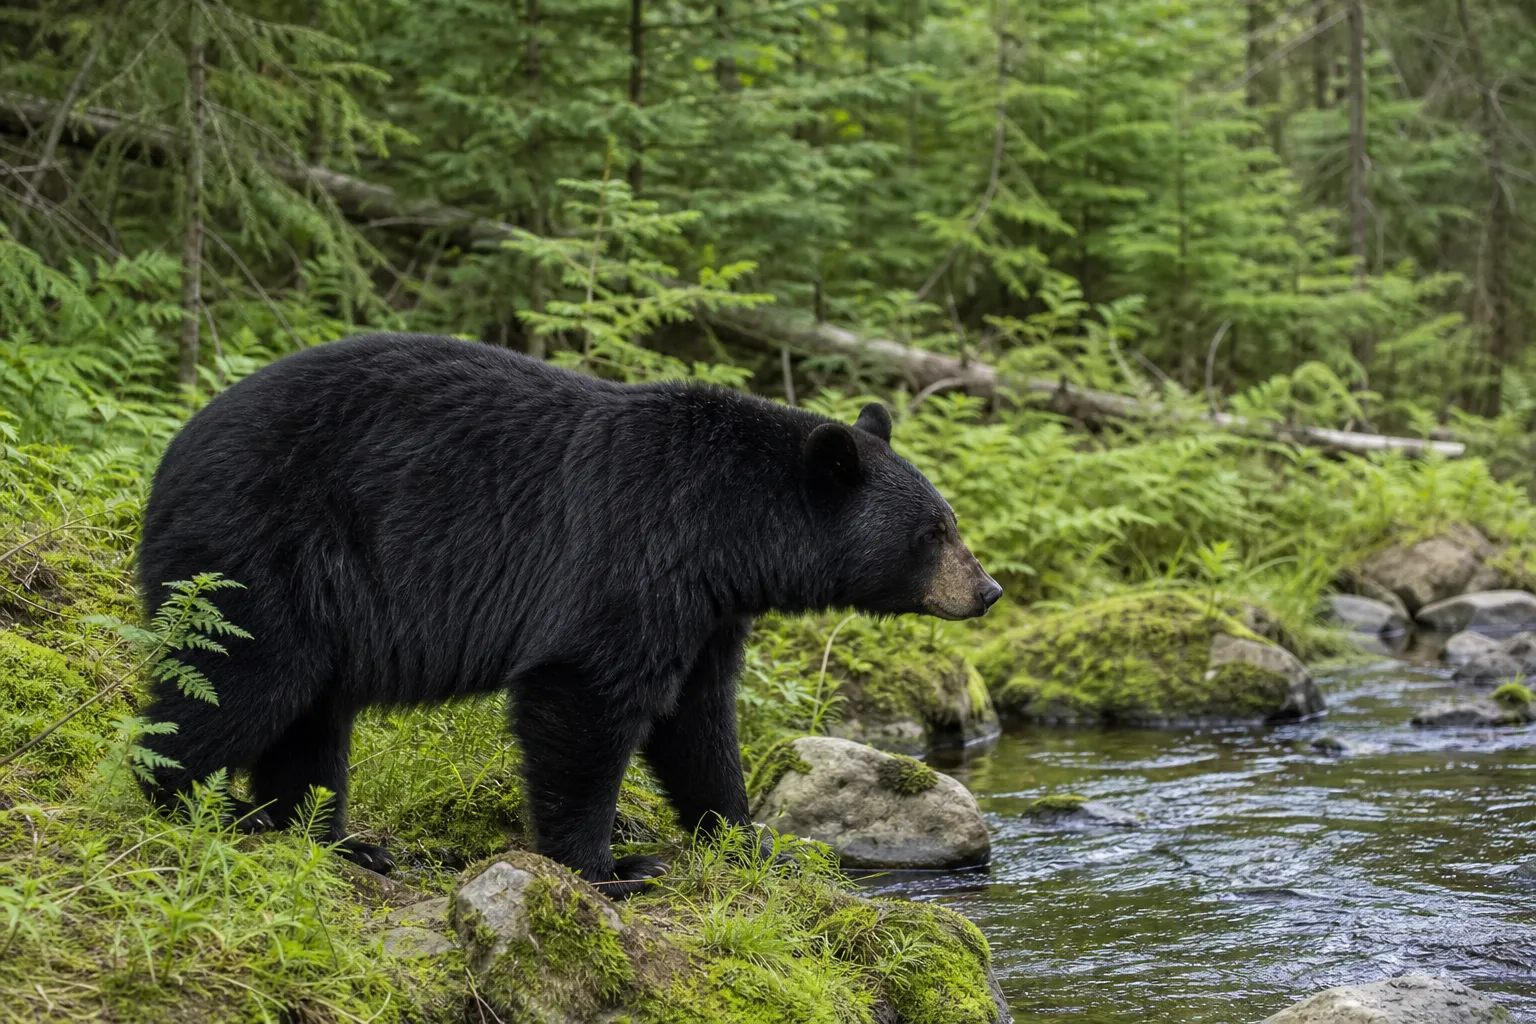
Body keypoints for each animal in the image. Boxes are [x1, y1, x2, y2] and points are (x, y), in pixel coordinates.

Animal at [137, 333, 1002, 895]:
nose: (987, 589)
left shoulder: (706, 608)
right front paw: (611, 867)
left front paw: (752, 841)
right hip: (261, 548)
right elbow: (584, 691)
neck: (726, 530)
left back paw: (339, 841)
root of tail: (171, 455)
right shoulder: (630, 551)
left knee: (312, 717)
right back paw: (193, 806)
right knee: (238, 679)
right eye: (934, 532)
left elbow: (697, 721)